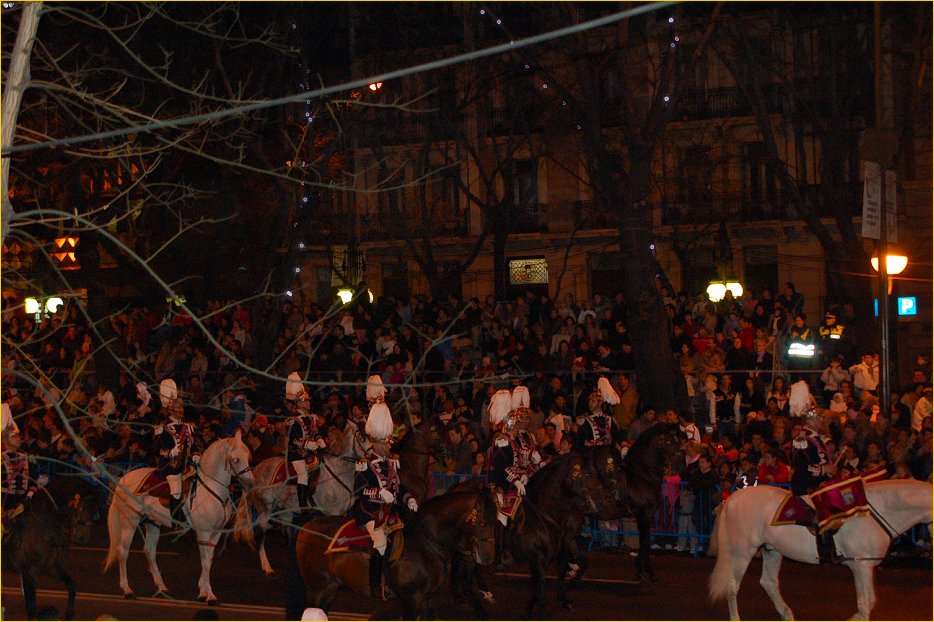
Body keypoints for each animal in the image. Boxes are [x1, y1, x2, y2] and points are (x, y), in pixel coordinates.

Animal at [2, 478, 98, 620]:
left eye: (95, 511)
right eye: (81, 507)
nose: (84, 538)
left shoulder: (52, 567)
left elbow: (71, 585)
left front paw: (69, 613)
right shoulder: (28, 573)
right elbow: (31, 607)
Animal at [102, 432, 254, 608]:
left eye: (248, 457)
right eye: (235, 459)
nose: (251, 483)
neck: (211, 489)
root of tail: (124, 478)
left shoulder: (216, 533)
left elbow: (209, 559)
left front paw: (202, 591)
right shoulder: (203, 533)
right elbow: (205, 562)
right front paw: (210, 596)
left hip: (152, 524)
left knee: (150, 551)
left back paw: (162, 587)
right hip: (129, 523)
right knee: (123, 551)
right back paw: (127, 590)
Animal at [234, 424, 362, 576]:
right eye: (362, 437)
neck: (338, 471)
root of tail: (257, 468)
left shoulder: (342, 513)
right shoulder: (333, 513)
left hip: (285, 510)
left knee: (286, 533)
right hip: (265, 509)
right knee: (260, 534)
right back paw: (267, 567)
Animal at [296, 482, 500, 620]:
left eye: (496, 520)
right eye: (482, 523)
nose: (488, 558)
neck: (426, 542)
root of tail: (307, 526)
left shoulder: (426, 599)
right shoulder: (411, 600)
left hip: (330, 587)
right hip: (316, 588)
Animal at [708, 480, 934, 620]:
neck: (873, 513)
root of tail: (733, 499)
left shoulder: (865, 567)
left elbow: (868, 603)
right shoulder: (860, 565)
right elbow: (864, 605)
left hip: (772, 551)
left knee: (769, 582)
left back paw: (787, 615)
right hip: (742, 552)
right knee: (733, 585)